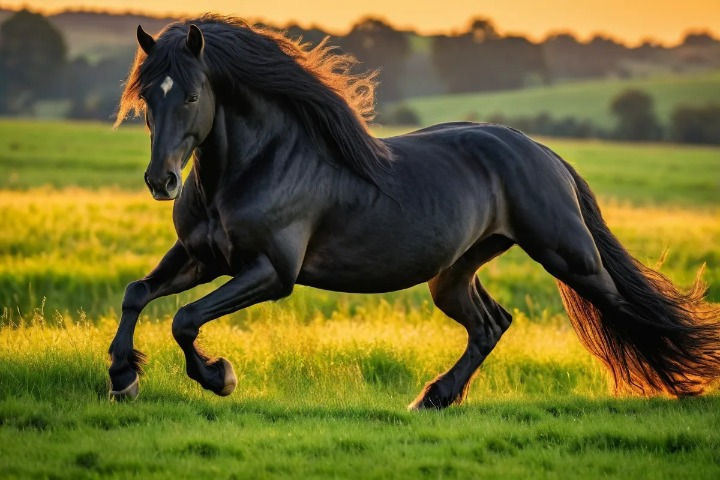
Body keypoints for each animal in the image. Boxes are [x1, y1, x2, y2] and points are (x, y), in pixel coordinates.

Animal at [109, 15, 720, 408]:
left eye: (191, 95)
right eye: (147, 97)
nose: (162, 181)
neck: (254, 166)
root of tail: (542, 153)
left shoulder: (271, 272)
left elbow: (186, 319)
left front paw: (220, 378)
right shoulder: (201, 257)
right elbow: (138, 293)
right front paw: (122, 377)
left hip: (569, 257)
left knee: (627, 309)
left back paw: (679, 385)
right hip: (453, 274)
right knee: (491, 324)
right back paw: (434, 398)